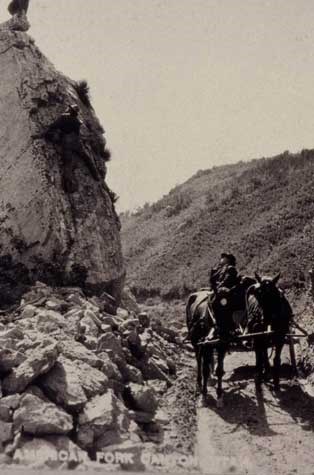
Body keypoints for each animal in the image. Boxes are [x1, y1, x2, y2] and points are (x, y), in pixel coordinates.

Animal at [186, 274, 292, 408]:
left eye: (274, 294)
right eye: (213, 304)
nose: (264, 320)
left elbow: (275, 359)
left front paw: (219, 396)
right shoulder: (207, 345)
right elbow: (205, 369)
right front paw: (204, 396)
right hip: (196, 342)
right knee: (199, 360)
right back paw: (200, 382)